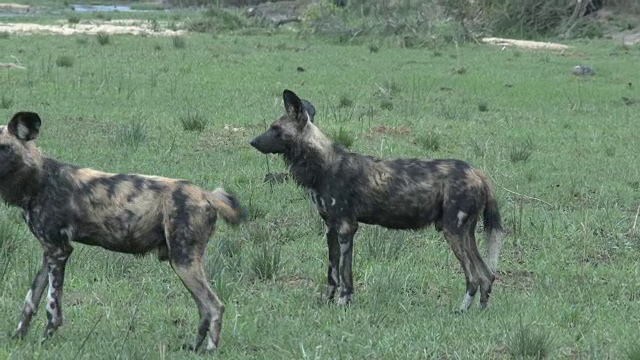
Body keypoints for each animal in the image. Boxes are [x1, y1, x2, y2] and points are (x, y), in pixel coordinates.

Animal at [0, 112, 245, 348]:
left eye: (4, 147)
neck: (38, 179)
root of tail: (206, 194)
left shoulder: (59, 251)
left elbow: (52, 306)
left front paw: (46, 340)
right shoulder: (50, 253)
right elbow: (31, 299)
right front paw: (19, 336)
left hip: (183, 262)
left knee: (214, 306)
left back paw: (211, 350)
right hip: (184, 264)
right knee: (204, 308)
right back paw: (194, 347)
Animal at [250, 89, 504, 312]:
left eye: (275, 128)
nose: (253, 141)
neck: (323, 164)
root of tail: (477, 173)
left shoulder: (346, 228)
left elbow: (345, 274)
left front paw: (343, 302)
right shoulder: (330, 229)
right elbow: (332, 273)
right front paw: (327, 301)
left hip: (453, 232)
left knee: (474, 276)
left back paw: (461, 310)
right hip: (465, 233)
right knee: (487, 275)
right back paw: (479, 311)